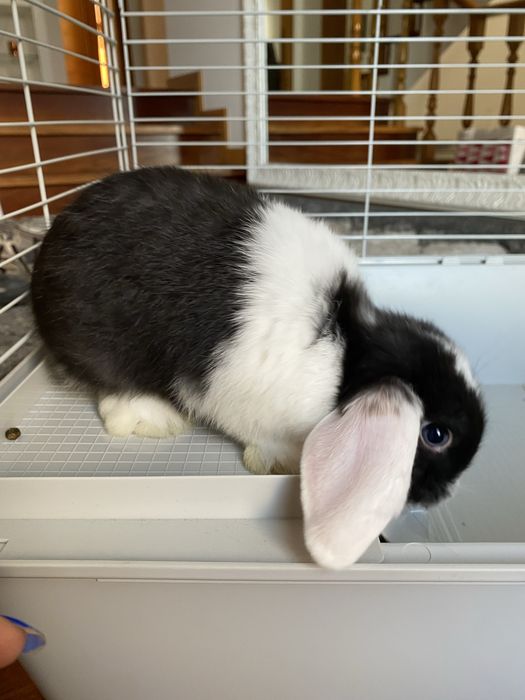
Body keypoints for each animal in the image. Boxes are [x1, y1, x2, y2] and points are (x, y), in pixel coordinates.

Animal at [31, 167, 486, 569]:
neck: (350, 352)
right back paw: (159, 419)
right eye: (436, 435)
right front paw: (280, 463)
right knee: (116, 395)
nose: (448, 493)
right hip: (108, 349)